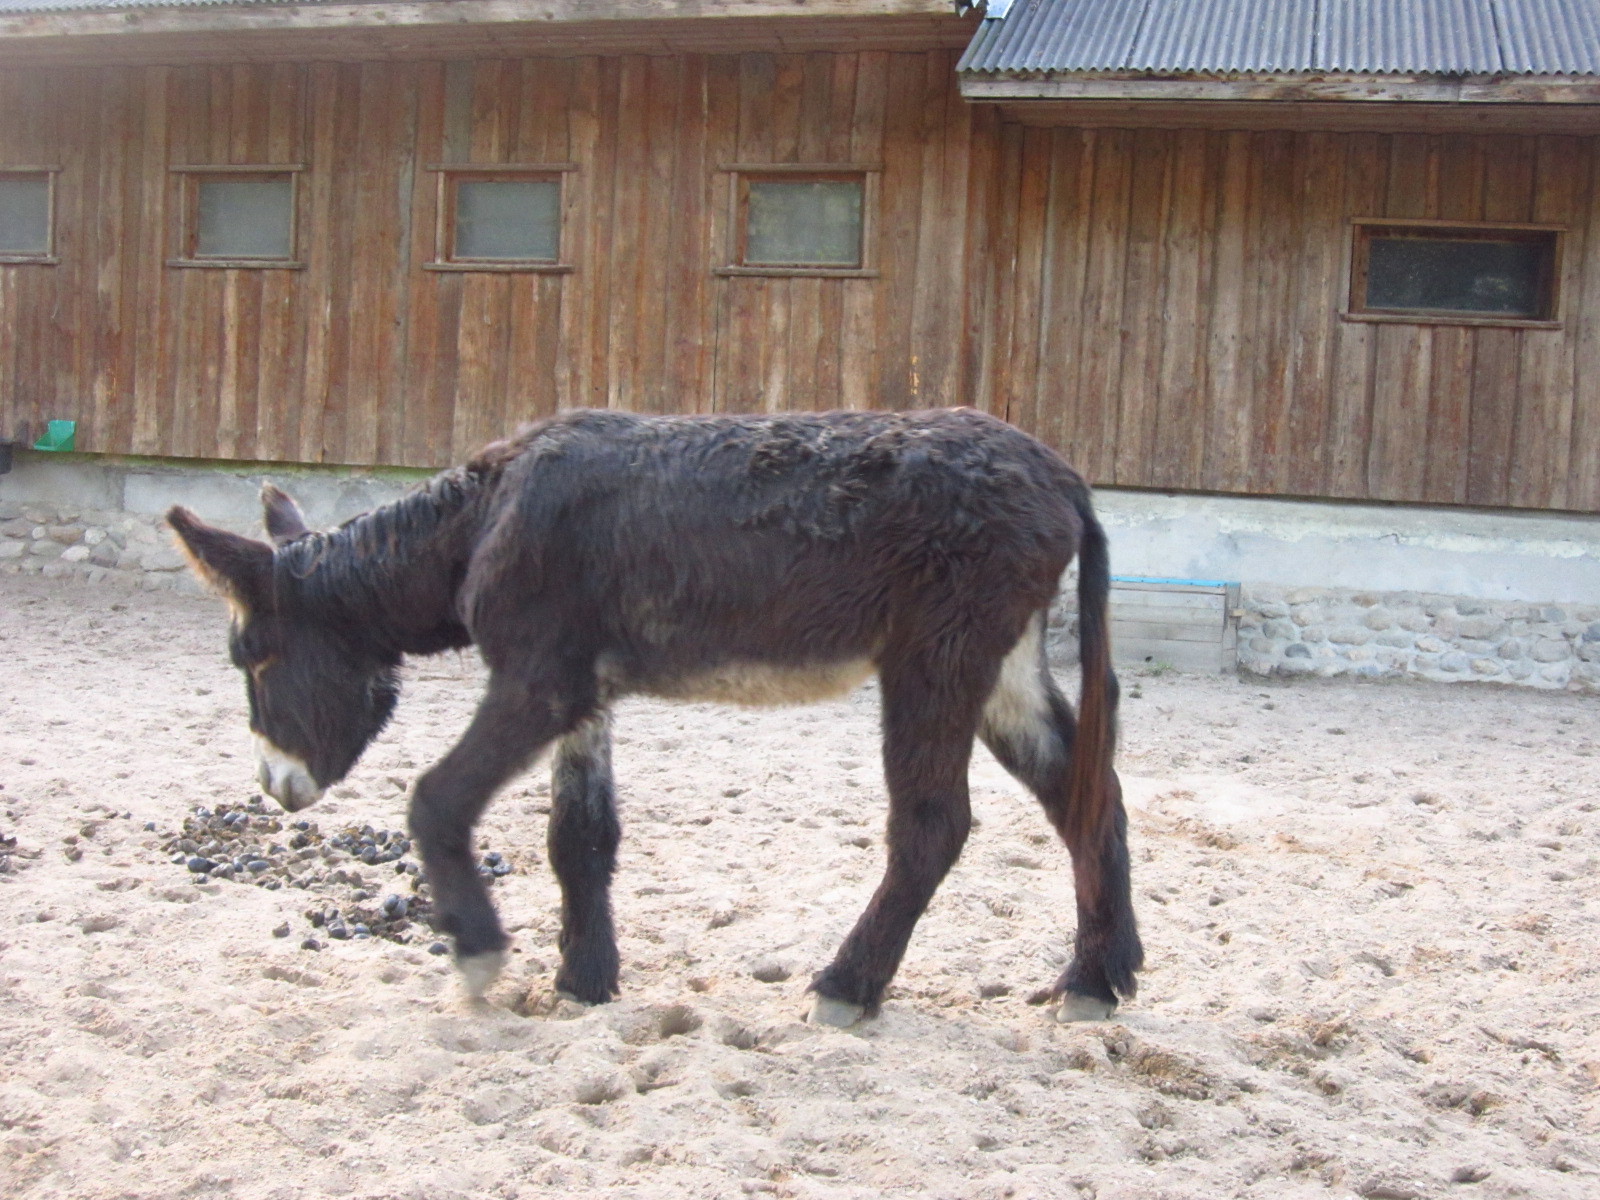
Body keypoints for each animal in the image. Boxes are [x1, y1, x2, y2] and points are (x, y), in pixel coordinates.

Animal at [167, 408, 1142, 1026]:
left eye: (251, 659)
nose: (274, 786)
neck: (480, 521)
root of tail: (1062, 475)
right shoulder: (583, 690)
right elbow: (579, 836)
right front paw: (583, 982)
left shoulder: (537, 681)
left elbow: (435, 800)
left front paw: (478, 955)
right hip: (1001, 667)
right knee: (1087, 797)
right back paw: (1098, 980)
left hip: (934, 658)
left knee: (936, 825)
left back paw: (848, 986)